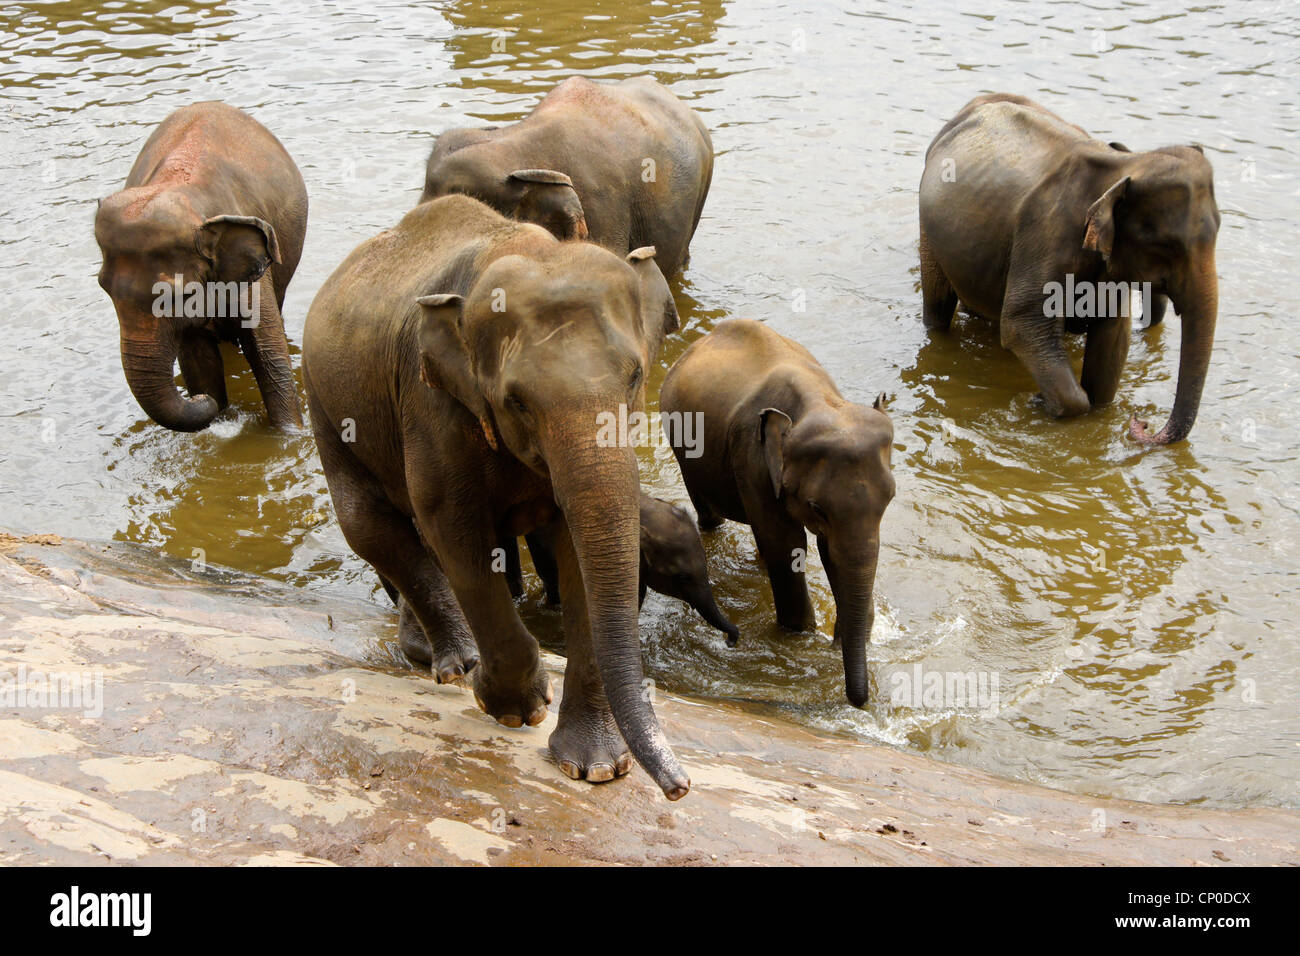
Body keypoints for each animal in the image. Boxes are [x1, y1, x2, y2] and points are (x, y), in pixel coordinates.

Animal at [94, 100, 306, 429]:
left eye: (181, 295)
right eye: (104, 288)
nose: (199, 400)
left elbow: (269, 354)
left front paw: (289, 434)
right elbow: (197, 359)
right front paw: (213, 405)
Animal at [302, 195, 691, 801]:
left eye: (634, 377)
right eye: (517, 402)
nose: (678, 788)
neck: (523, 245)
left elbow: (576, 548)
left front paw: (596, 767)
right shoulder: (432, 404)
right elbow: (454, 530)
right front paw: (512, 705)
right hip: (325, 404)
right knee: (368, 524)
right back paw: (455, 663)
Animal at [660, 321, 894, 712]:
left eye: (890, 499)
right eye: (817, 507)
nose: (858, 702)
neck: (821, 401)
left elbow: (828, 551)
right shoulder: (751, 457)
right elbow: (786, 546)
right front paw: (800, 636)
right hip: (682, 446)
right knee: (711, 513)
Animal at [915, 93, 1216, 444]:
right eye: (1168, 247)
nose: (1139, 422)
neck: (1124, 166)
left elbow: (1112, 339)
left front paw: (1095, 408)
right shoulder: (1045, 233)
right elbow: (1022, 324)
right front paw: (1038, 401)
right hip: (929, 231)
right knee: (938, 306)